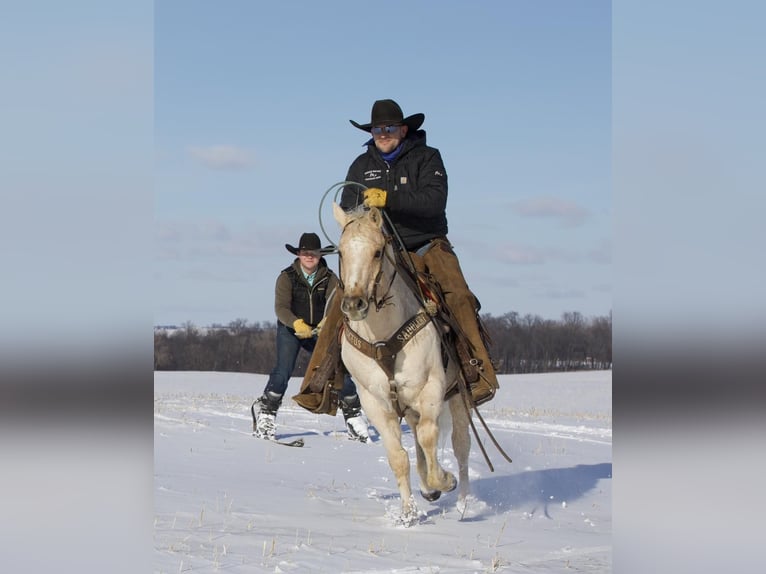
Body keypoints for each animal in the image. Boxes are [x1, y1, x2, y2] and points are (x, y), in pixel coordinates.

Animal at [332, 205, 472, 528]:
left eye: (377, 252)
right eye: (341, 252)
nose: (354, 304)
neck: (382, 336)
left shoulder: (431, 388)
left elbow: (430, 437)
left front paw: (443, 481)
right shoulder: (375, 401)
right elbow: (398, 456)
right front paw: (408, 514)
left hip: (457, 397)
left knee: (460, 447)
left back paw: (461, 503)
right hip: (409, 408)